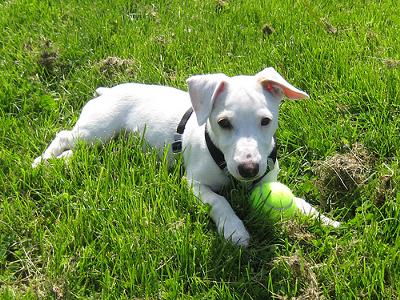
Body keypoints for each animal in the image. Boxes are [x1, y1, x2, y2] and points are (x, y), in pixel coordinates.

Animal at [32, 67, 340, 245]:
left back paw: (62, 161)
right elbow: (219, 201)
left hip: (104, 141)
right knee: (64, 135)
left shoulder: (267, 180)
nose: (249, 169)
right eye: (223, 123)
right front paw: (234, 230)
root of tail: (107, 91)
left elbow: (296, 201)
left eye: (266, 121)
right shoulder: (193, 184)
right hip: (97, 130)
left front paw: (322, 219)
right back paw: (41, 163)